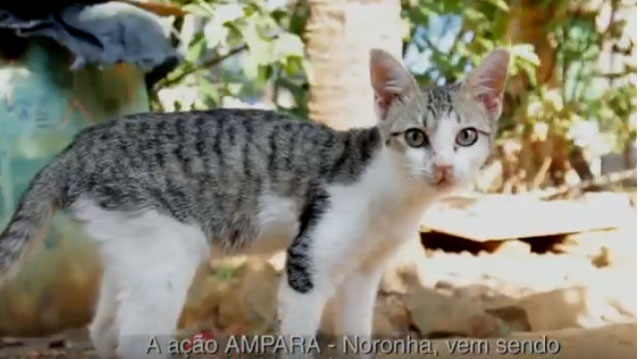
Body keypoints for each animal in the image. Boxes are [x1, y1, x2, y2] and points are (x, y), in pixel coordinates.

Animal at [0, 48, 510, 359]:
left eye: (466, 137)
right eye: (416, 137)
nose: (443, 167)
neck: (393, 194)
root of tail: (76, 146)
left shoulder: (364, 274)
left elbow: (356, 333)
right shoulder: (308, 263)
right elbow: (299, 337)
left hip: (134, 248)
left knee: (104, 327)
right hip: (168, 252)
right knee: (130, 337)